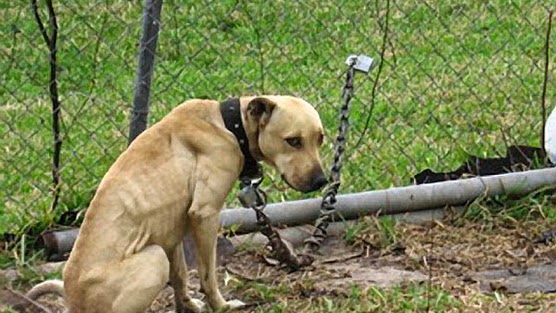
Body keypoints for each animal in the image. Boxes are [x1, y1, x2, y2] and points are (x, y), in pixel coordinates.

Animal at [26, 95, 328, 312]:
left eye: (320, 139)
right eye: (293, 141)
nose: (321, 181)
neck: (231, 126)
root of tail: (71, 299)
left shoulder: (173, 234)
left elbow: (181, 277)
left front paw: (189, 305)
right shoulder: (204, 216)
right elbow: (208, 275)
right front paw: (221, 306)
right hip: (154, 257)